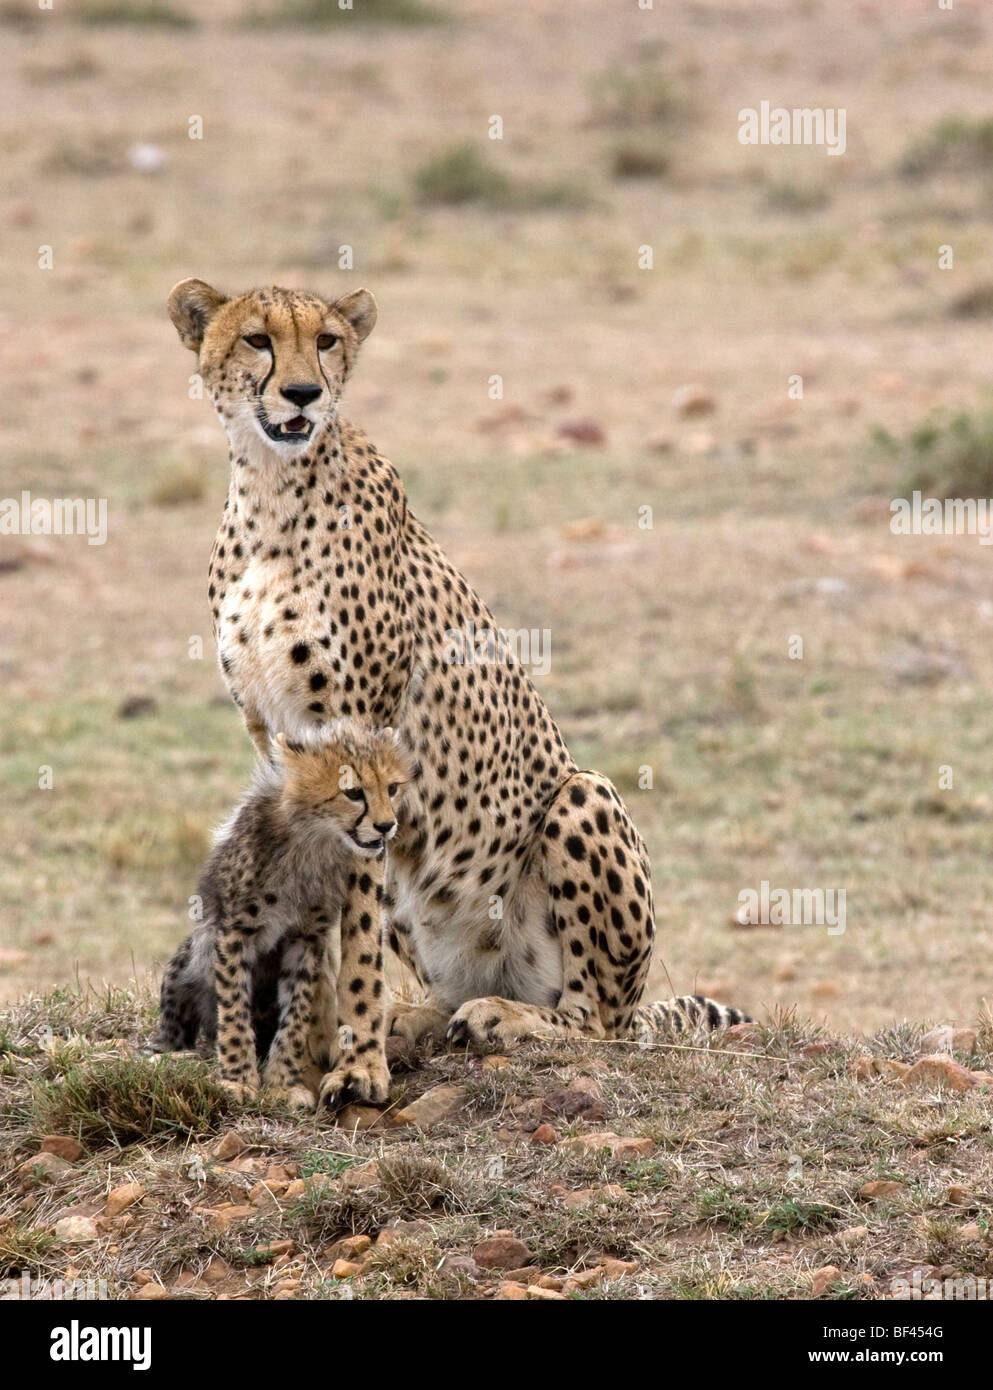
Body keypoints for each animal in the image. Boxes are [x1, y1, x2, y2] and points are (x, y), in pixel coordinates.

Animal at [168, 273, 745, 1073]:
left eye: (326, 340)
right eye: (257, 338)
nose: (303, 393)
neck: (271, 491)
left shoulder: (364, 735)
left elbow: (355, 923)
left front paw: (355, 1064)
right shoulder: (273, 738)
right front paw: (316, 1044)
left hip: (582, 798)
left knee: (597, 1020)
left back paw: (502, 1017)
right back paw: (418, 1020)